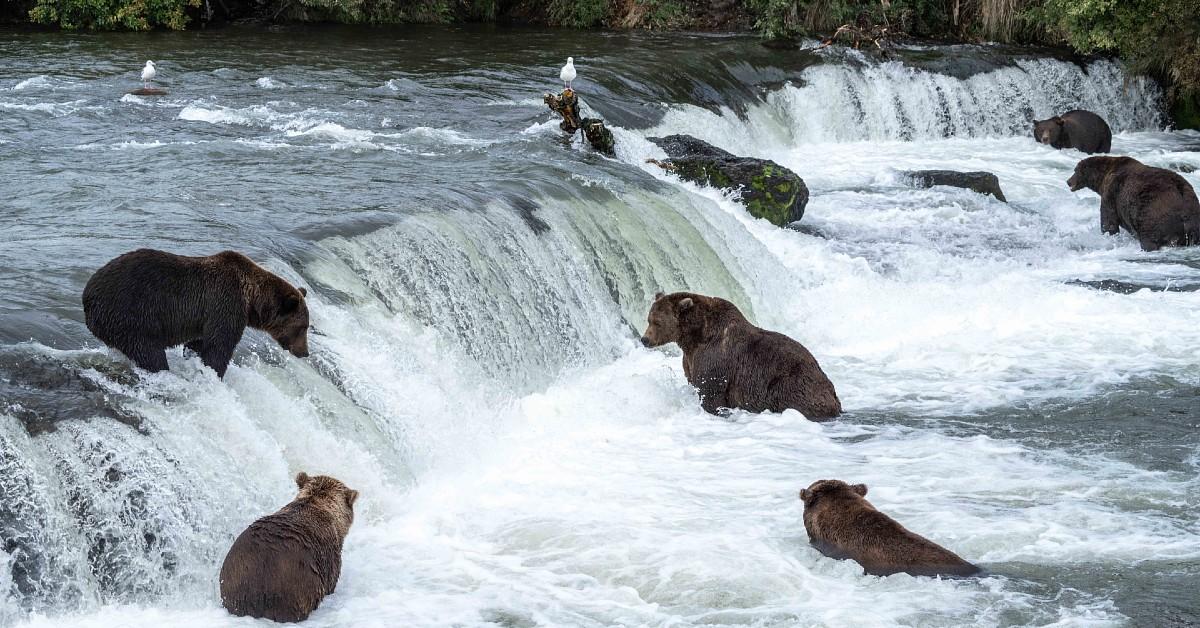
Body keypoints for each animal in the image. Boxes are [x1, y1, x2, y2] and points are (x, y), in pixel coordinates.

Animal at [82, 249, 312, 379]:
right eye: (303, 328)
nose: (305, 352)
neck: (251, 299)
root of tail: (87, 294)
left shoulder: (207, 318)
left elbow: (199, 343)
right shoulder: (226, 304)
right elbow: (218, 347)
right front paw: (215, 373)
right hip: (131, 314)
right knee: (148, 352)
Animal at [638, 292, 844, 420]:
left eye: (657, 322)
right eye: (649, 319)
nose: (644, 339)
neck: (694, 337)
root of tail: (832, 392)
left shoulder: (714, 358)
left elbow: (710, 391)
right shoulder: (691, 359)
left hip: (791, 386)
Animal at [1070, 156, 1200, 252]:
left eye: (1075, 170)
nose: (1068, 181)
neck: (1103, 177)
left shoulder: (1112, 191)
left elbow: (1109, 220)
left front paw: (1108, 235)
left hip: (1153, 212)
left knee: (1149, 237)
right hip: (1194, 218)